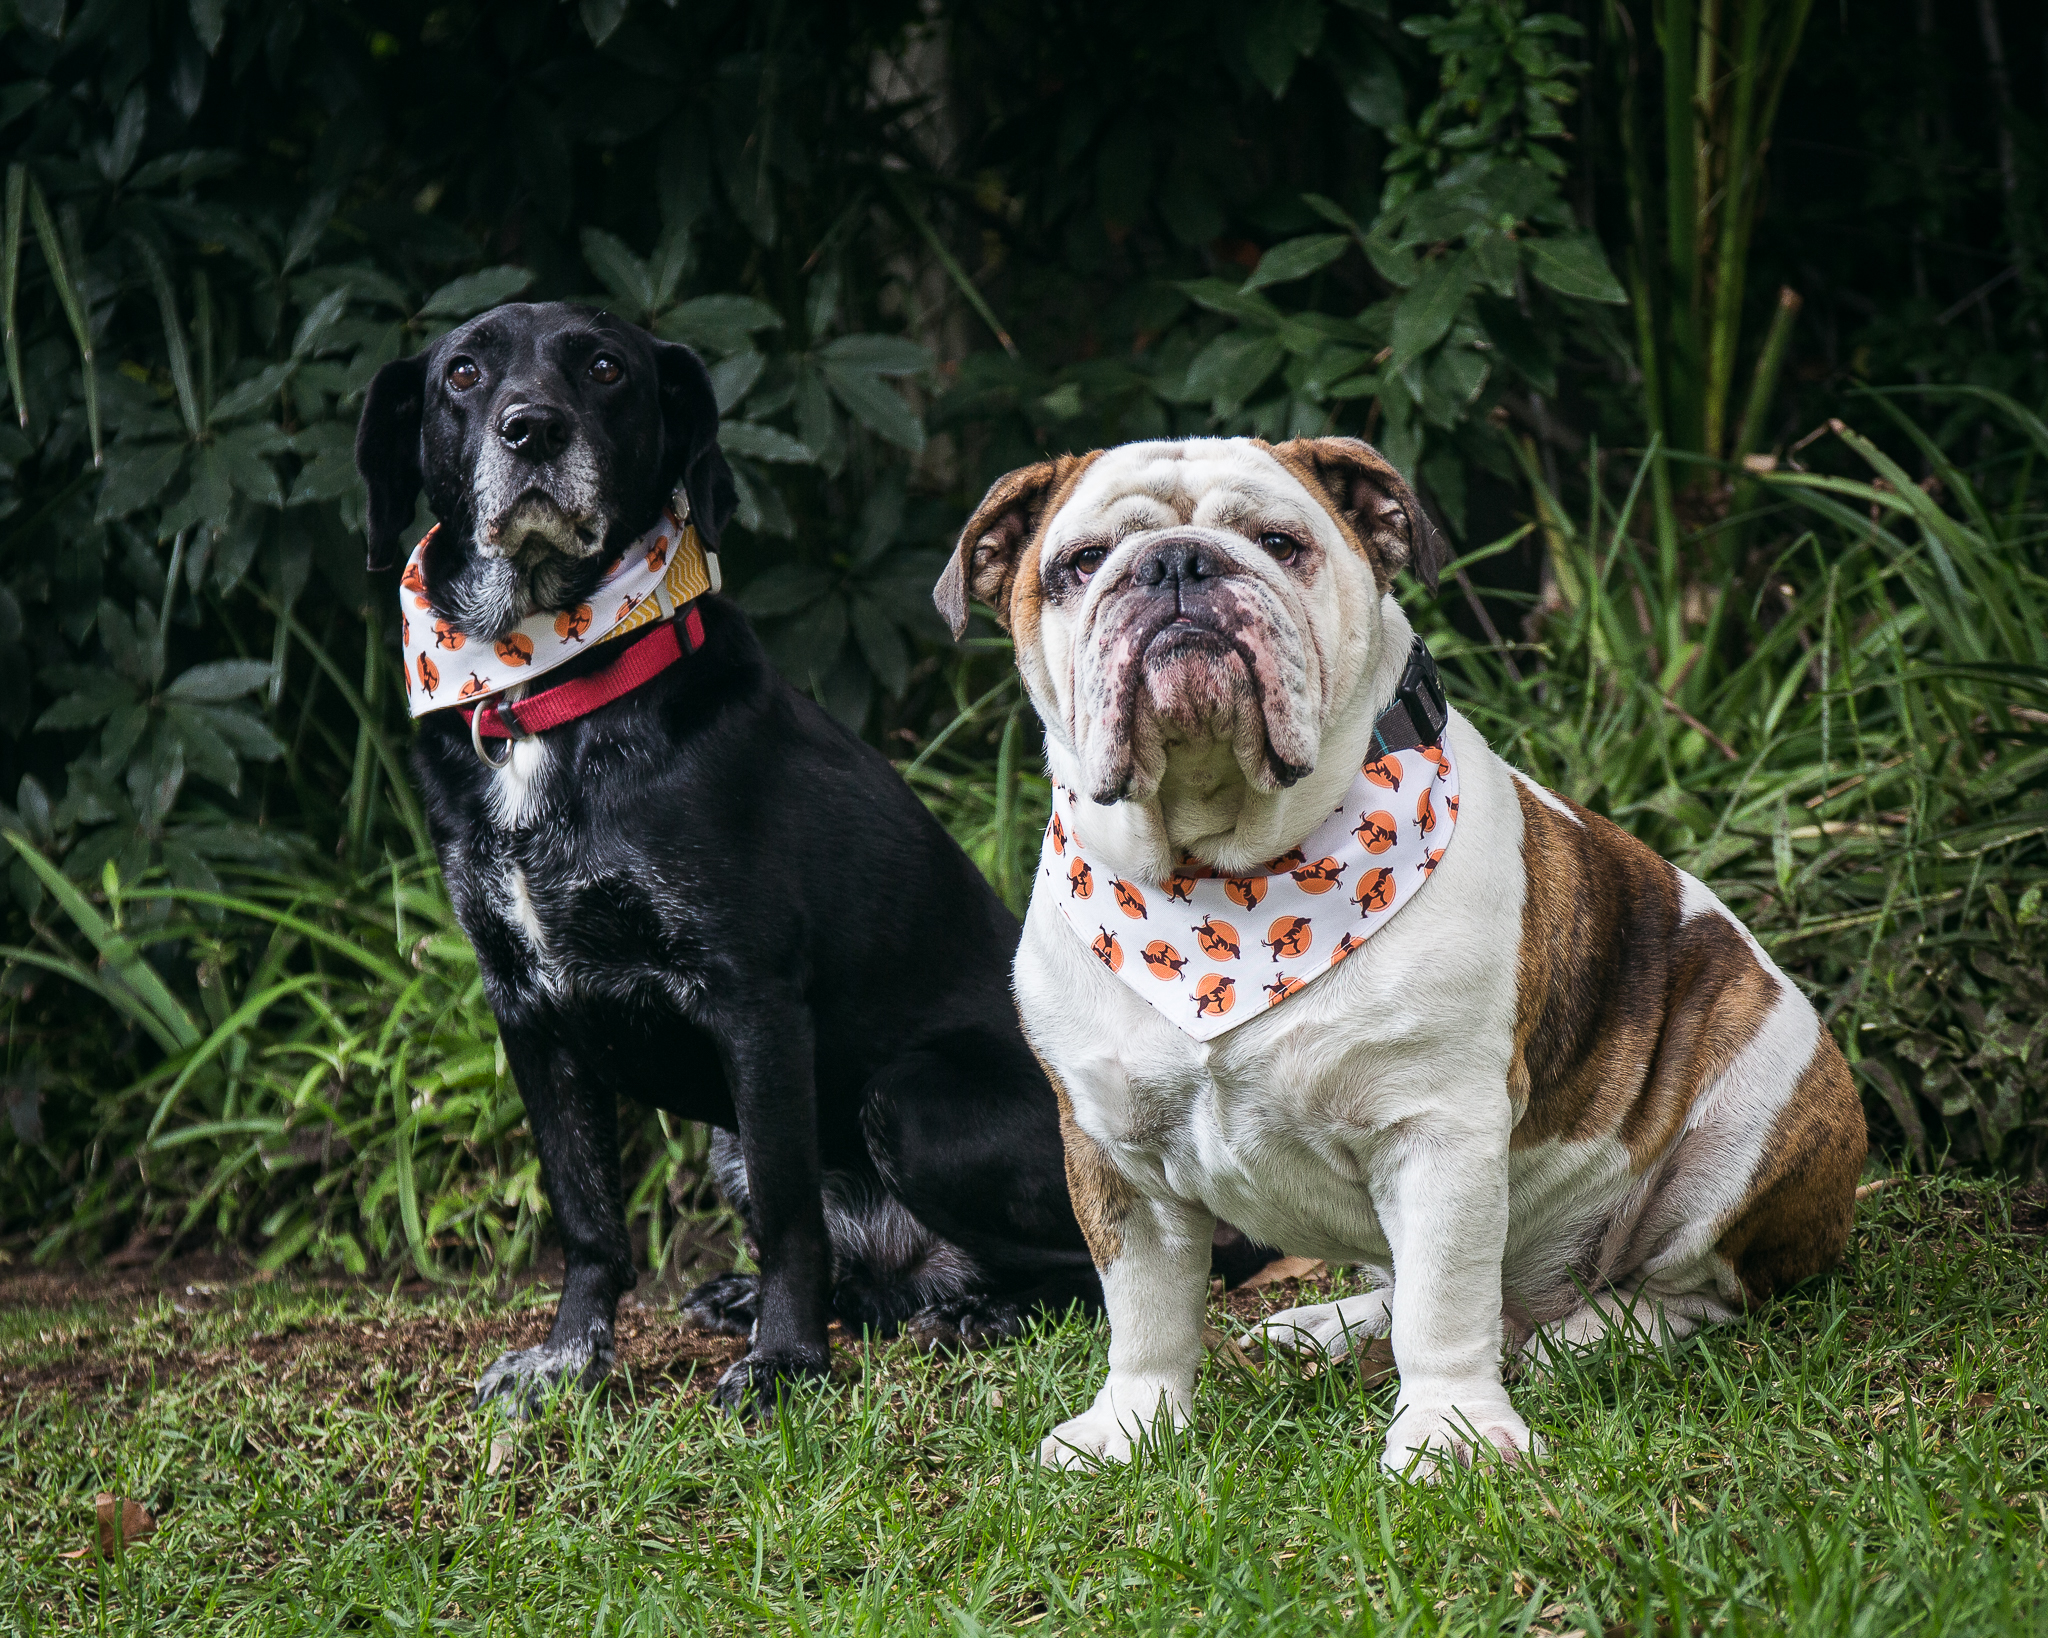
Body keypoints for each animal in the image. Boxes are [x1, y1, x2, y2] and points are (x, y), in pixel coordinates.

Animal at [358, 303, 1122, 1408]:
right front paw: (569, 1355)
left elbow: (787, 1216)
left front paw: (785, 1362)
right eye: (461, 373)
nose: (532, 428)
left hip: (912, 1099)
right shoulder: (527, 1009)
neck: (551, 690)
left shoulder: (751, 999)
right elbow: (586, 1216)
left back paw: (983, 1310)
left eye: (604, 367)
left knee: (1105, 1260)